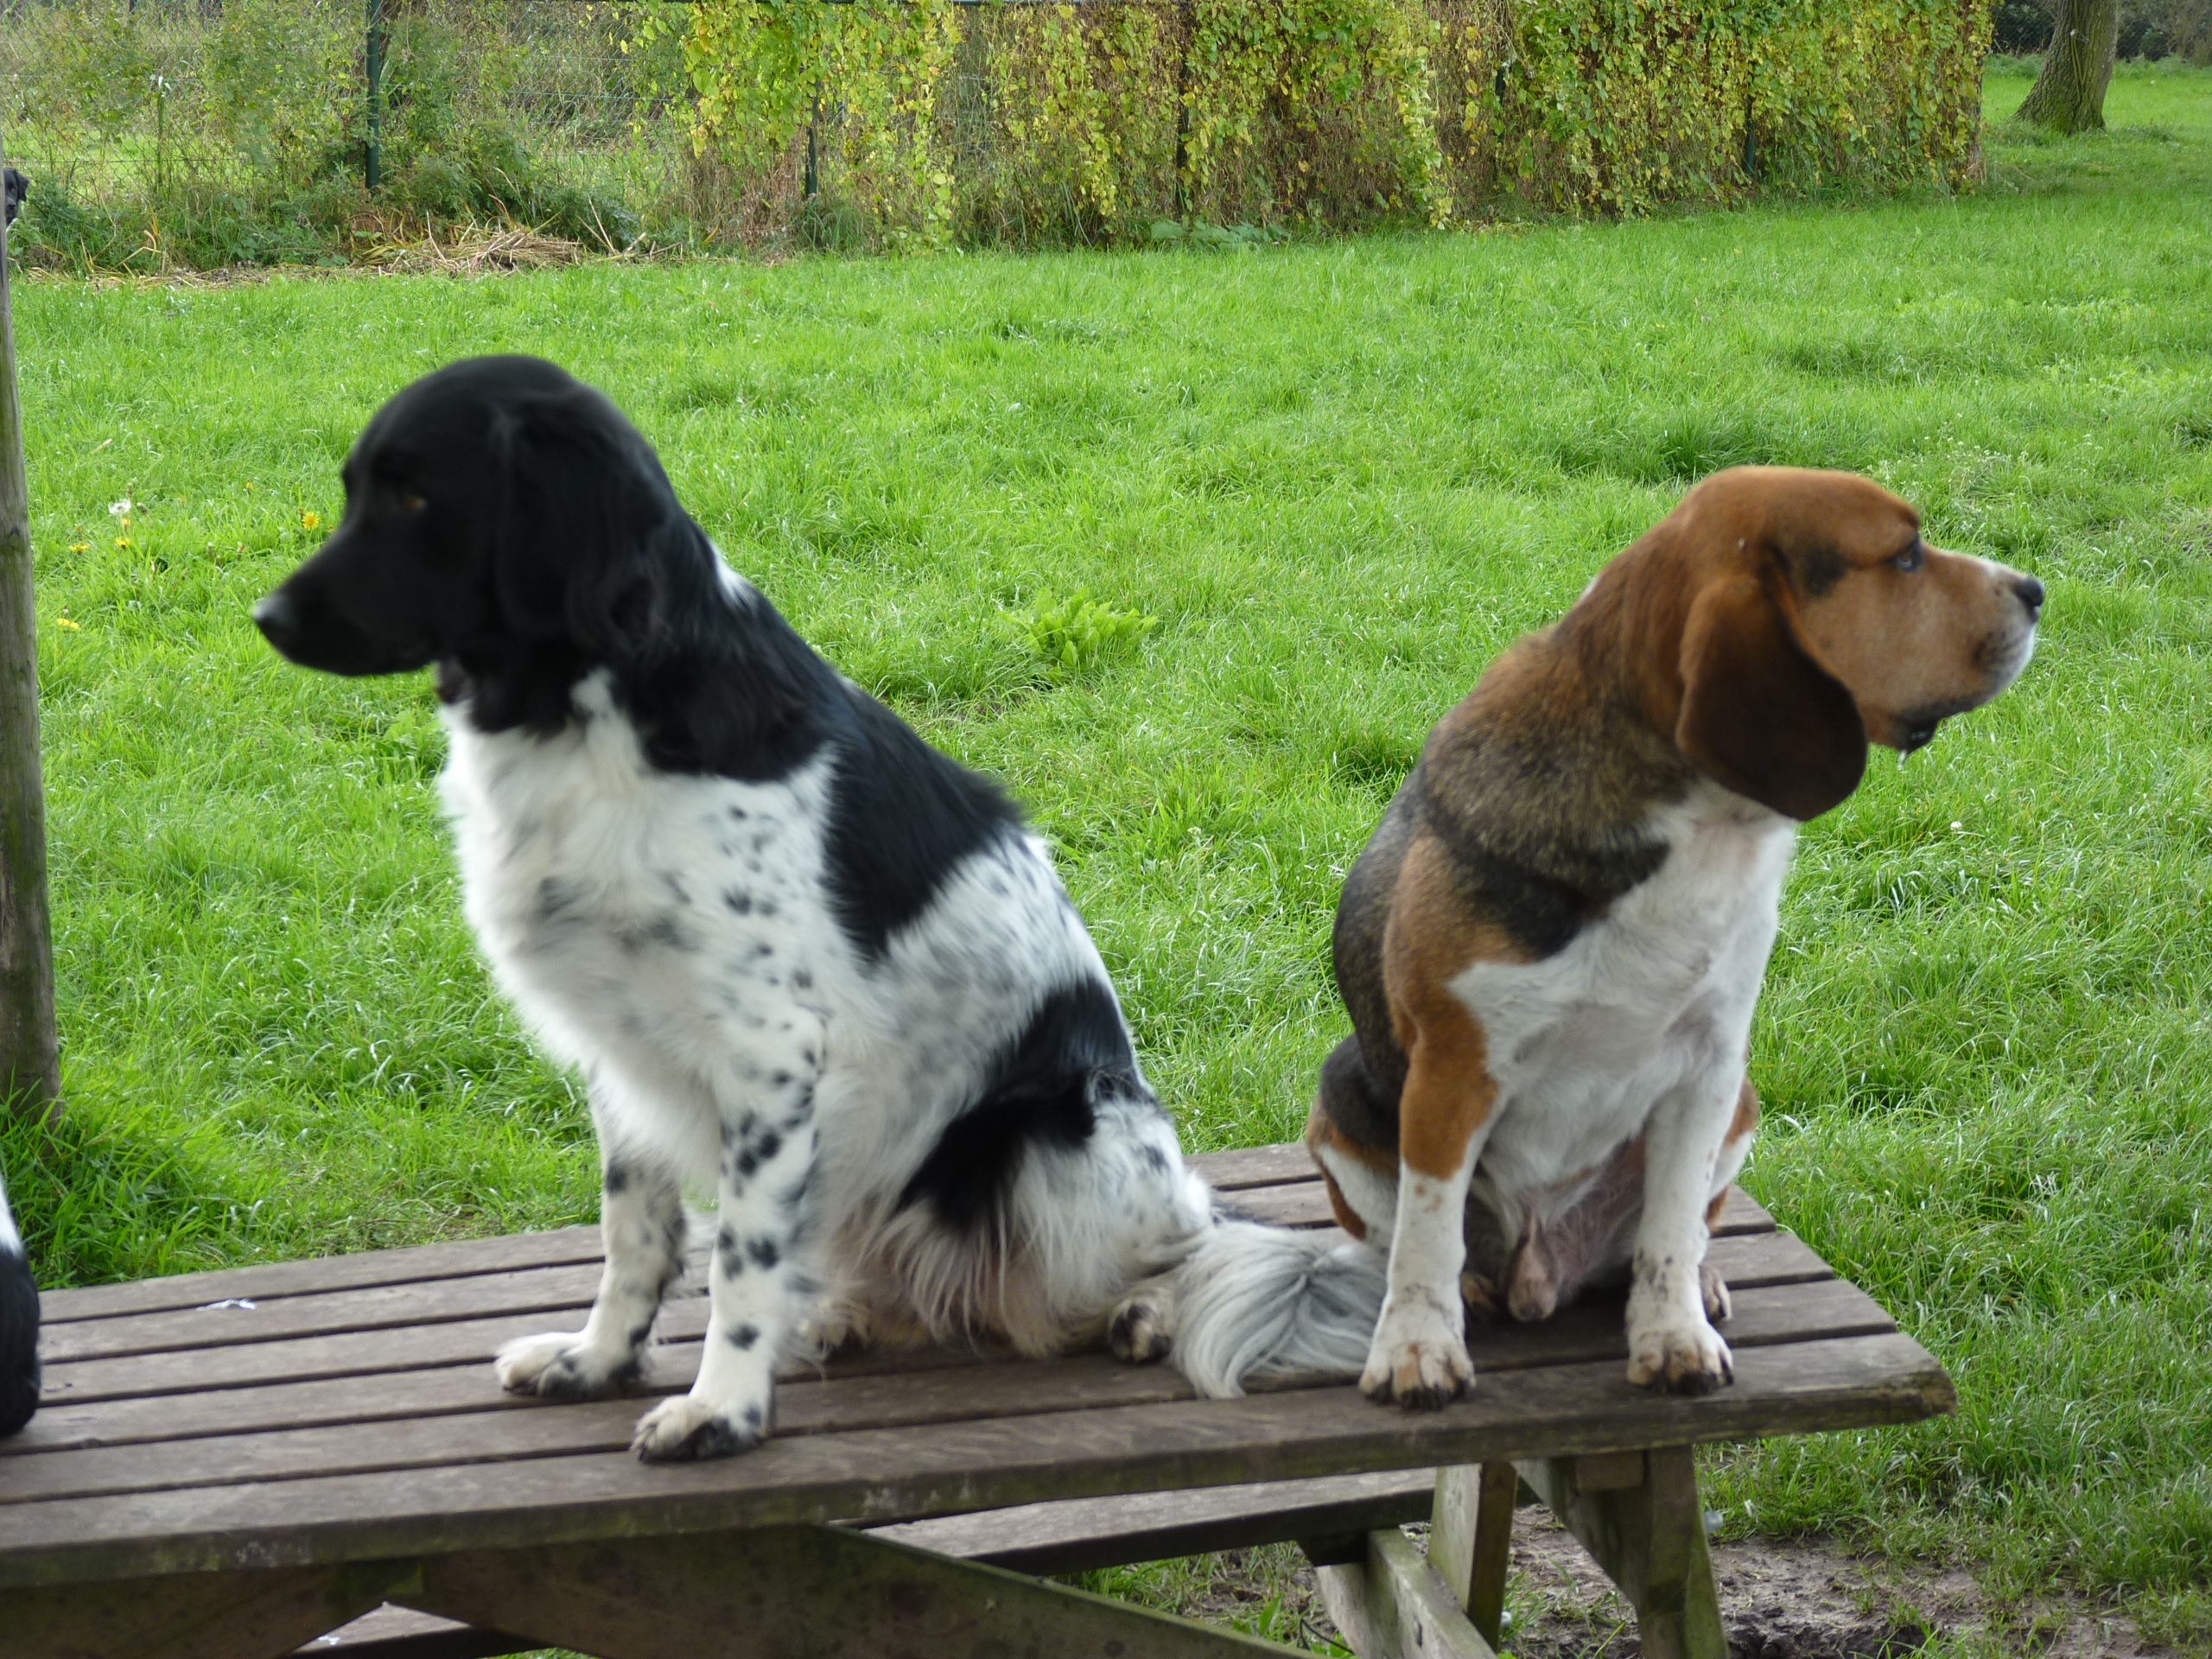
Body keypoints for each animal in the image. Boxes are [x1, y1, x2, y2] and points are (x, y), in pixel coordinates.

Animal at [252, 356, 1387, 1459]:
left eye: (412, 496)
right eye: (354, 491)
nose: (265, 618)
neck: (595, 714)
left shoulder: (768, 1053)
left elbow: (739, 1262)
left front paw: (722, 1412)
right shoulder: (622, 1048)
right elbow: (637, 1237)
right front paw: (600, 1361)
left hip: (1054, 1138)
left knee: (1181, 1247)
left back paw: (1142, 1312)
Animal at [1305, 467, 2042, 1407]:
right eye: (1906, 555)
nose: (2036, 591)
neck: (1699, 826)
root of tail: (1542, 1274)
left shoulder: (1708, 1066)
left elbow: (1670, 1227)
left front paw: (1673, 1337)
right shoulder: (1450, 1075)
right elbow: (1426, 1238)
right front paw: (1416, 1352)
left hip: (1744, 1102)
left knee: (1682, 1231)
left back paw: (1698, 1283)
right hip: (1341, 1093)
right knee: (1413, 1241)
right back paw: (1469, 1290)